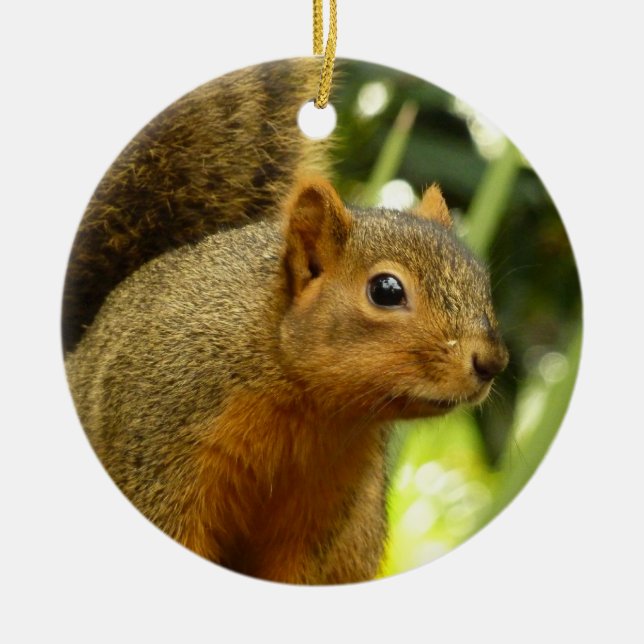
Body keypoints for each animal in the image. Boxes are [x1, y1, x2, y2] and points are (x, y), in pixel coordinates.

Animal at [63, 58, 509, 585]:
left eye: (481, 280)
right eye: (386, 290)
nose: (492, 362)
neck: (308, 409)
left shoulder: (325, 507)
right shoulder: (159, 444)